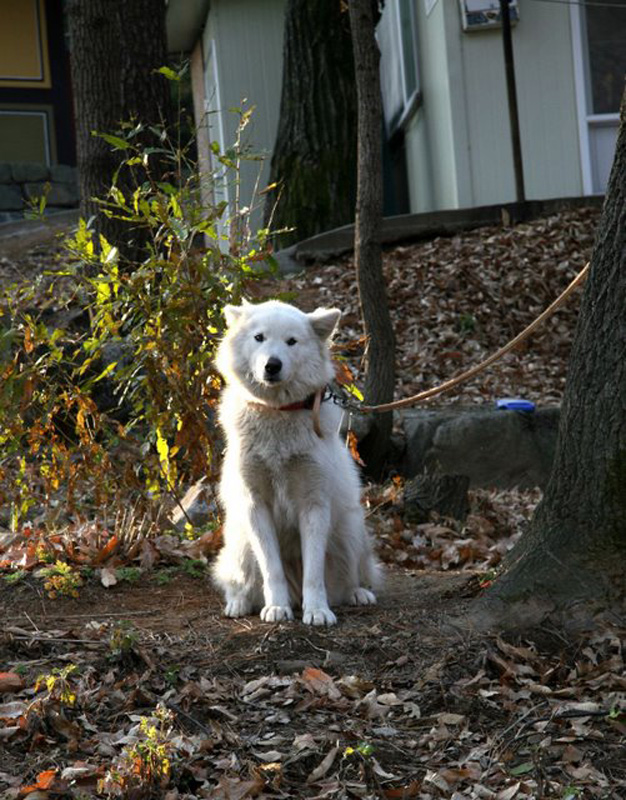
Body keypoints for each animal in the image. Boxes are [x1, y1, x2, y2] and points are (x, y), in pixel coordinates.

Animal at [213, 298, 380, 624]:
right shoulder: (256, 504)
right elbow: (271, 569)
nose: (272, 365)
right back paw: (239, 603)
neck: (277, 411)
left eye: (291, 342)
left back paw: (357, 594)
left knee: (351, 576)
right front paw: (277, 607)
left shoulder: (314, 503)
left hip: (351, 529)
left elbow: (314, 572)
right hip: (240, 543)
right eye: (259, 338)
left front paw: (317, 611)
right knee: (239, 582)